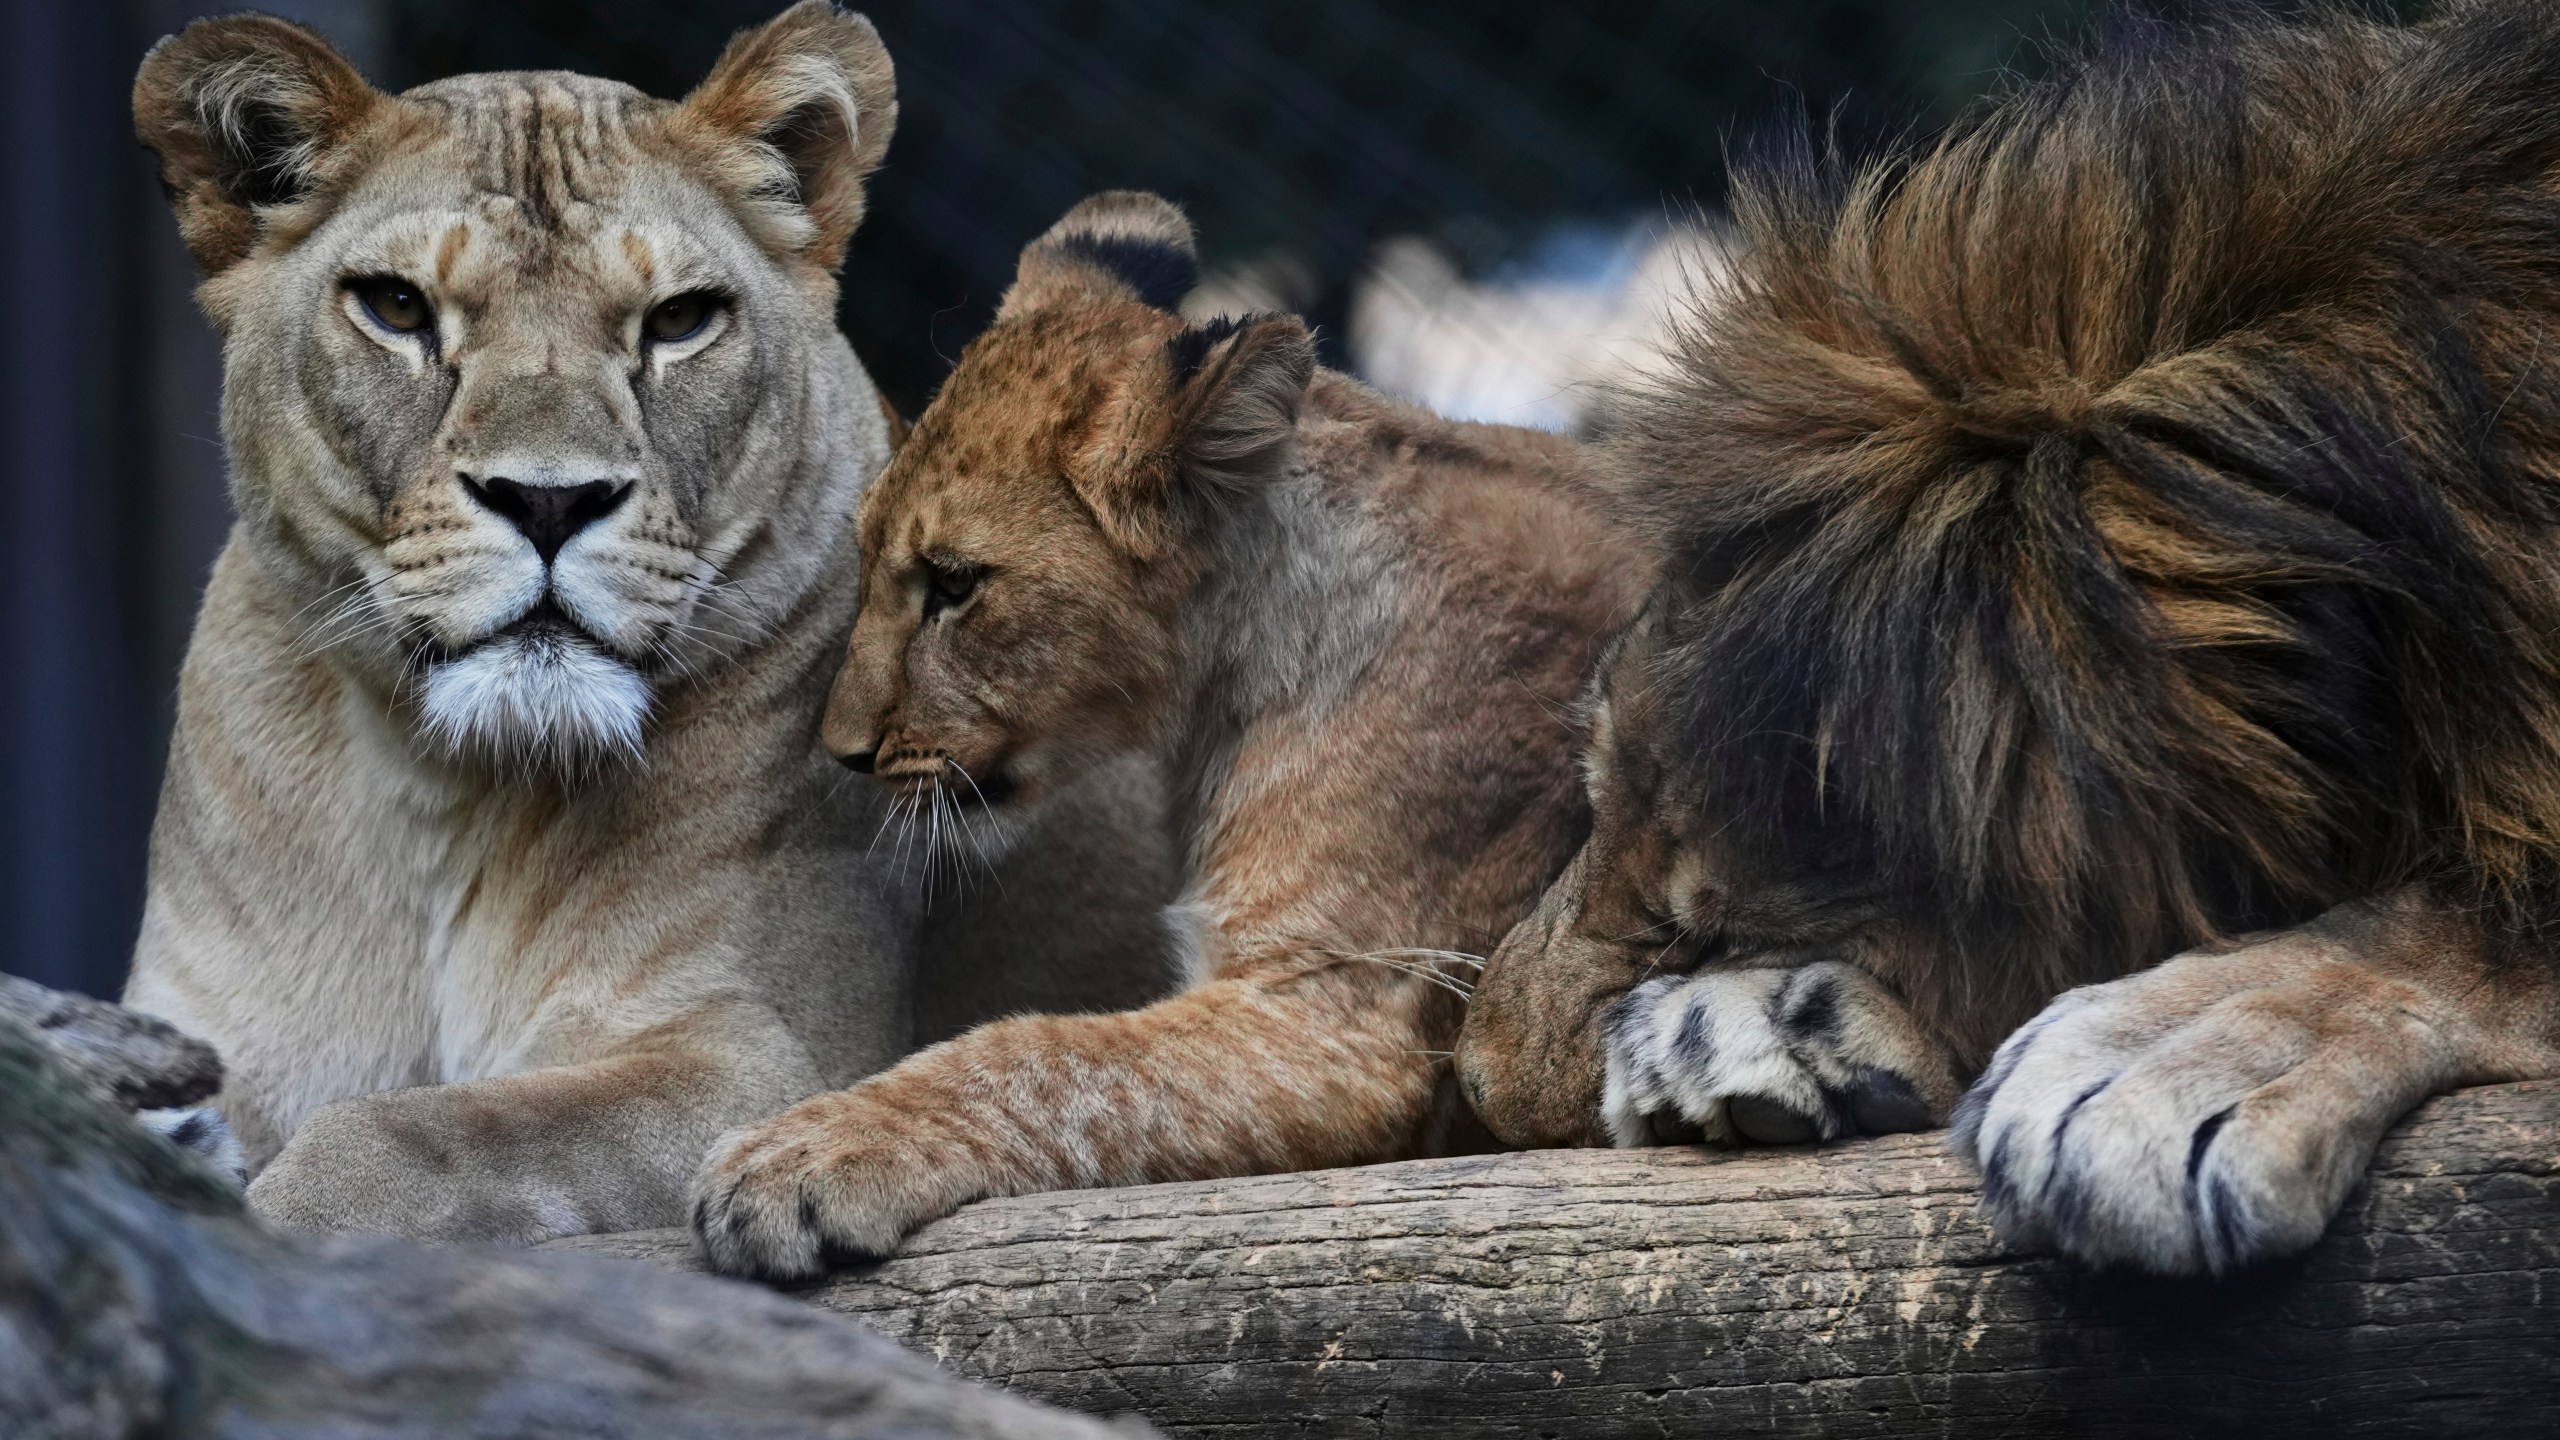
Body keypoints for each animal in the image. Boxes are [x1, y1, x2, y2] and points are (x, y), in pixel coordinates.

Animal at [119, 5, 1173, 1244]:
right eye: (397, 308)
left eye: (679, 321)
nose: (548, 500)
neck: (445, 792)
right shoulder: (202, 1033)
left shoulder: (766, 1061)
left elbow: (433, 1132)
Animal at [687, 191, 1648, 1278]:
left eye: (954, 584)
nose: (843, 750)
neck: (1227, 680)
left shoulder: (1339, 1021)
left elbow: (1042, 1054)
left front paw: (802, 1152)